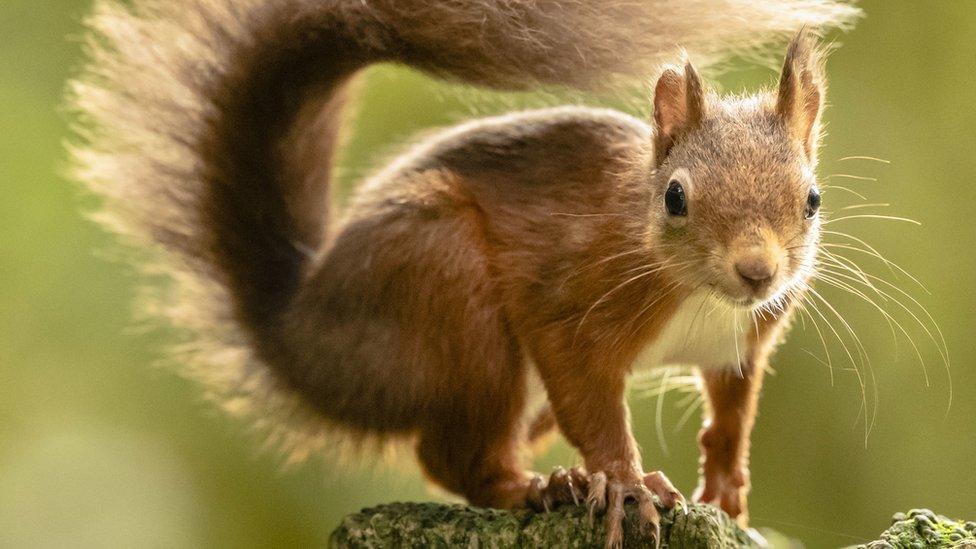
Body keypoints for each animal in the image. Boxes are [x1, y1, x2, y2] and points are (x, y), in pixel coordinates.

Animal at [70, 0, 856, 544]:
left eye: (811, 198)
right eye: (676, 198)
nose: (757, 271)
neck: (697, 292)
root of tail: (297, 337)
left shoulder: (743, 342)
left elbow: (732, 413)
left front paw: (727, 495)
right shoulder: (571, 301)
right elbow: (591, 398)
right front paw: (627, 484)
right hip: (448, 287)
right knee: (454, 461)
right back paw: (544, 488)